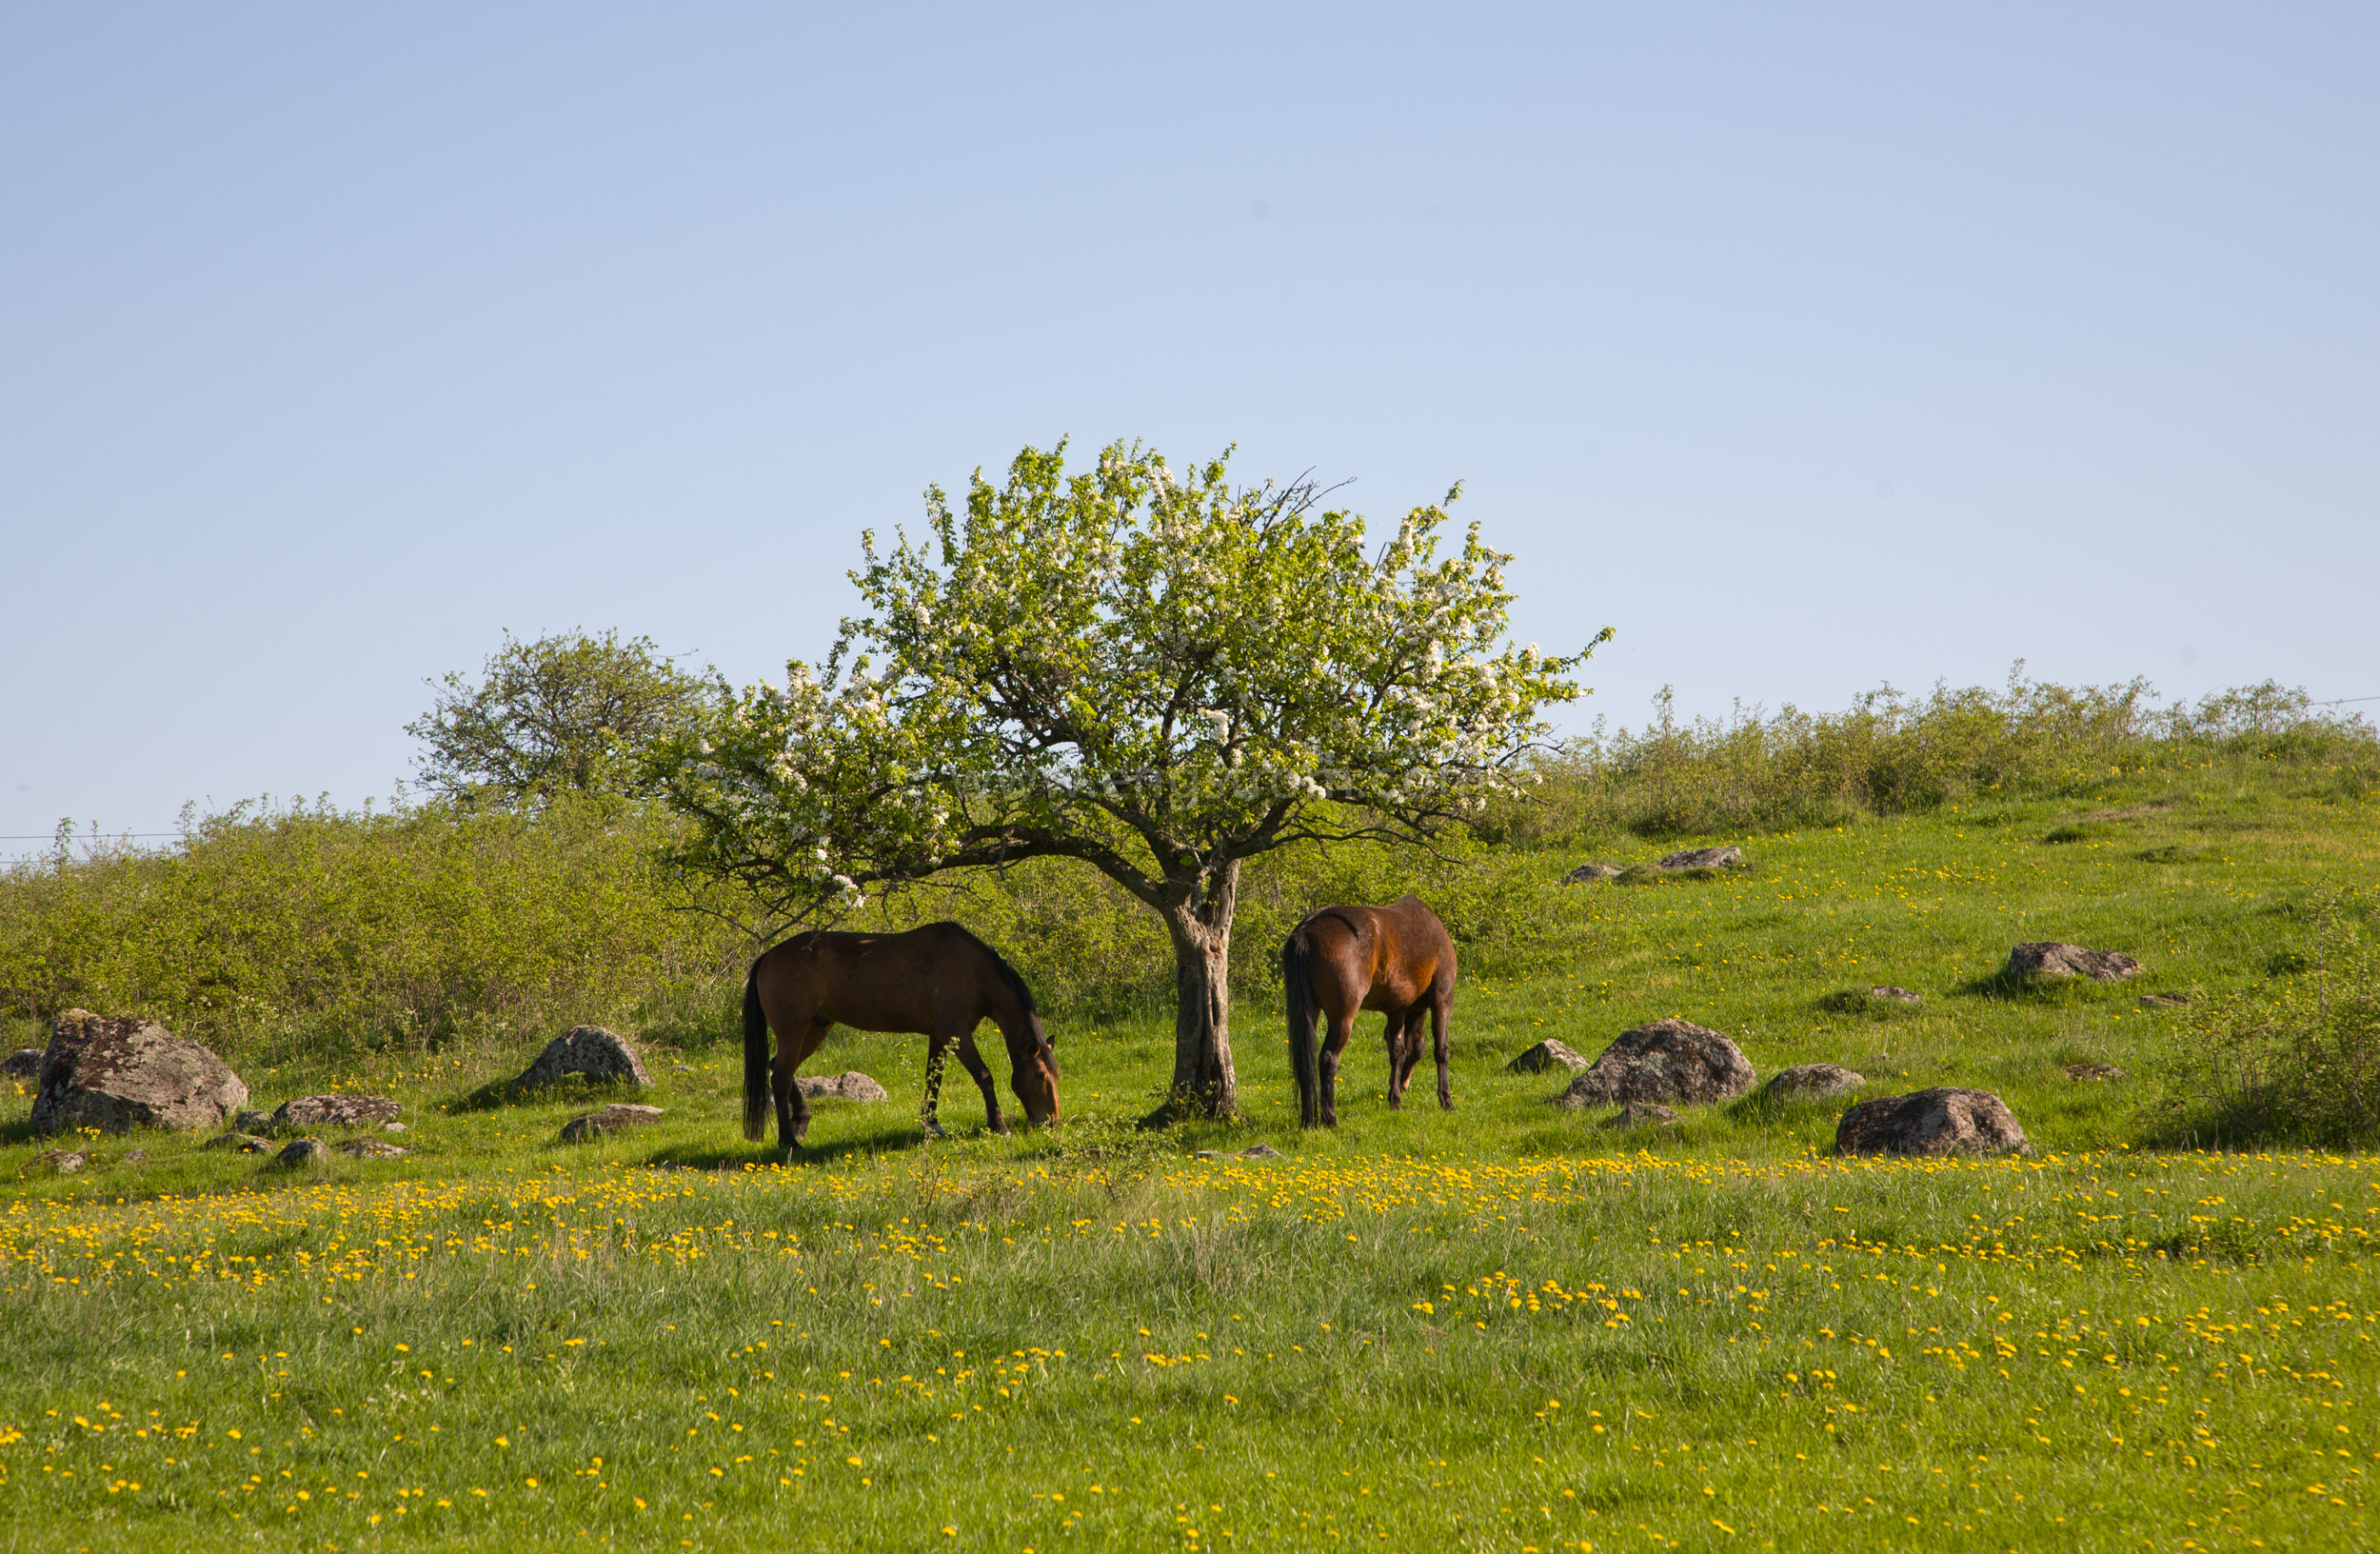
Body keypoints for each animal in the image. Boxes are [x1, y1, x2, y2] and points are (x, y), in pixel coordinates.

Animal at [733, 923, 1052, 1151]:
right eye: (1040, 1075)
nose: (1050, 1122)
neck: (972, 970)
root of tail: (767, 956)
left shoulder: (939, 1036)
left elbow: (933, 1080)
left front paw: (931, 1124)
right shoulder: (956, 1034)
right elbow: (984, 1076)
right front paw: (998, 1125)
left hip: (815, 1028)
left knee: (778, 1069)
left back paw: (801, 1121)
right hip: (794, 1030)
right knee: (780, 1077)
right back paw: (788, 1141)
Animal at [1285, 894, 1447, 1127]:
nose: (1406, 1083)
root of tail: (1306, 930)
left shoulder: (1397, 1010)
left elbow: (1398, 1051)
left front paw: (1395, 1098)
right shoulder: (1442, 1000)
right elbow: (1439, 1050)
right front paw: (1445, 1099)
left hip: (1310, 1013)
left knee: (1304, 1061)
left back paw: (1309, 1120)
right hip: (1343, 1019)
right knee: (1328, 1058)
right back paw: (1330, 1118)